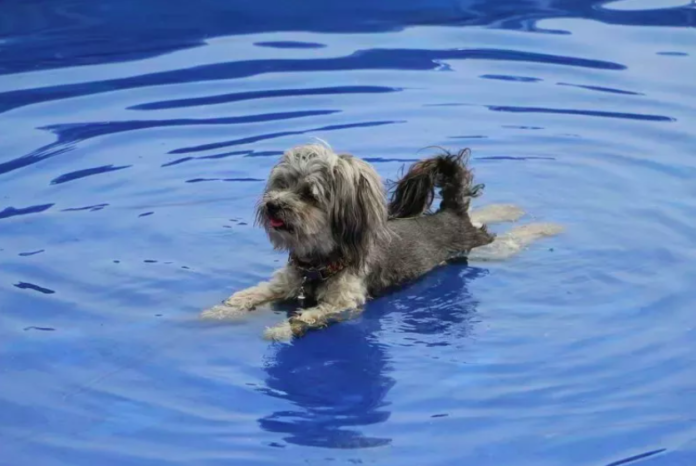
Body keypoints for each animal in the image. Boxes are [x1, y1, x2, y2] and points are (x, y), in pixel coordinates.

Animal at [201, 142, 560, 338]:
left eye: (308, 195)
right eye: (281, 185)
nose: (272, 204)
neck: (317, 263)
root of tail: (451, 212)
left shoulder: (345, 302)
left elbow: (308, 316)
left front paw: (279, 331)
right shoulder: (284, 283)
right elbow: (248, 296)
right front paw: (213, 313)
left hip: (483, 244)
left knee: (511, 239)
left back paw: (545, 226)